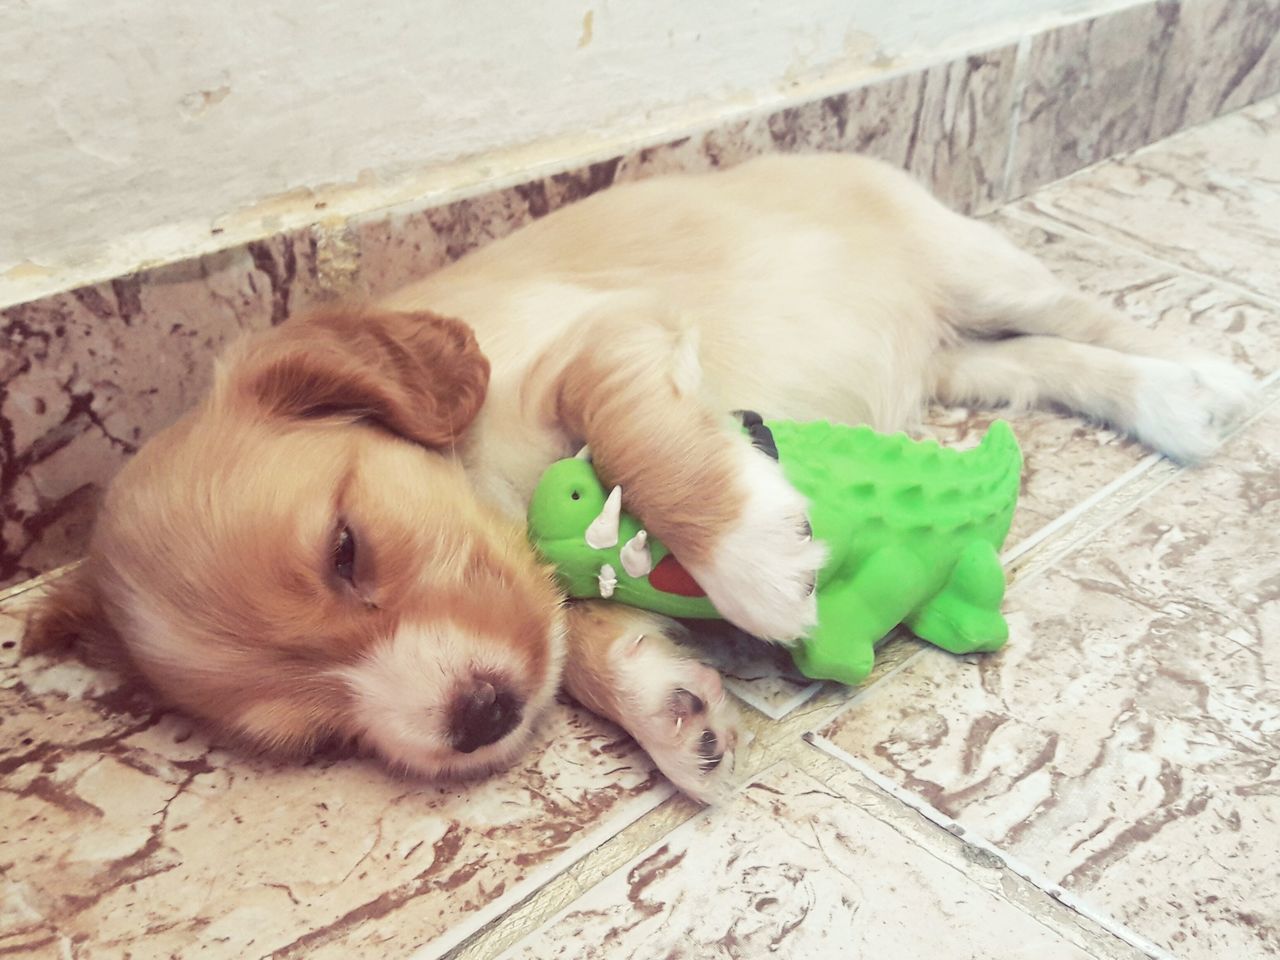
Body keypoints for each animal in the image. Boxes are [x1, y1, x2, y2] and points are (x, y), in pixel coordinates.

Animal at [22, 156, 1259, 803]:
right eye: (311, 735)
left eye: (346, 546)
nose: (475, 721)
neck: (487, 479)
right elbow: (572, 642)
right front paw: (670, 713)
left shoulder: (602, 337)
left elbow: (636, 436)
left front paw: (751, 560)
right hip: (959, 357)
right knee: (1037, 362)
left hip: (970, 259)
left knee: (1087, 315)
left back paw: (1195, 382)